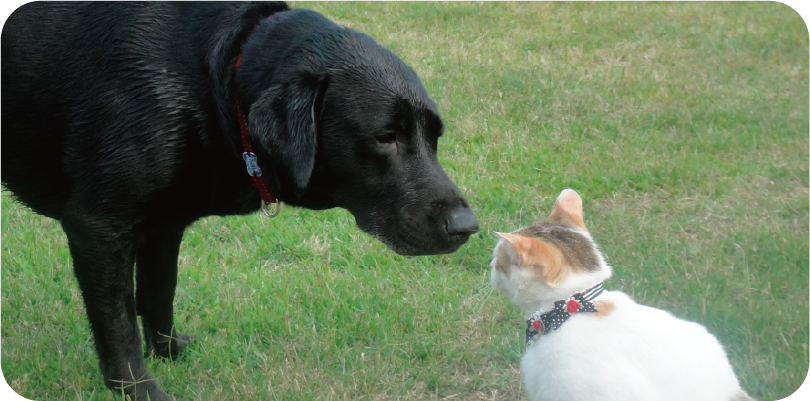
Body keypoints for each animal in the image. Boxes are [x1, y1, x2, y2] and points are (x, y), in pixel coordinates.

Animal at [0, 1, 479, 399]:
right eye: (385, 136)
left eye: (435, 138)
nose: (468, 227)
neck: (217, 80)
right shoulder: (98, 227)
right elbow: (119, 326)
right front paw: (138, 389)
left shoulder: (164, 225)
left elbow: (158, 292)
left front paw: (170, 352)